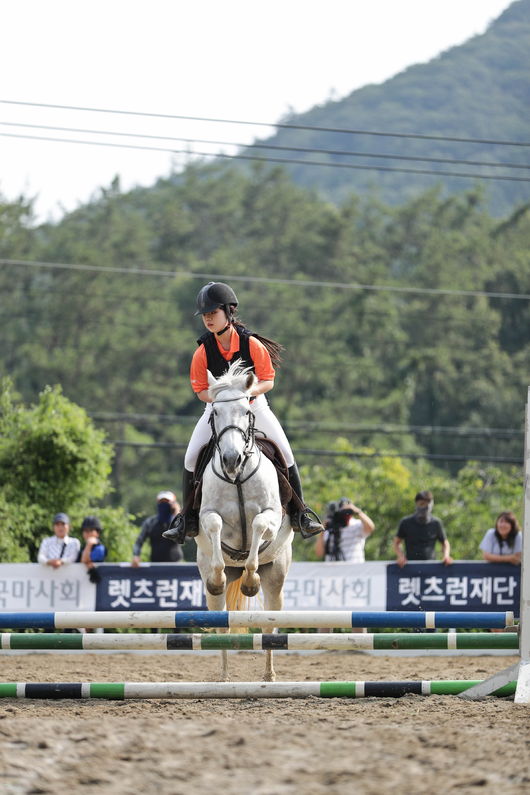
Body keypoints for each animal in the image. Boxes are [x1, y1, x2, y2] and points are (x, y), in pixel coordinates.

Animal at [194, 364, 292, 680]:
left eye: (246, 410)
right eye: (215, 412)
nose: (231, 459)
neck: (237, 478)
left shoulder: (272, 515)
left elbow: (259, 526)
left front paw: (251, 582)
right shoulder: (206, 515)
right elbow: (214, 525)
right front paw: (219, 576)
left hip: (276, 577)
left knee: (269, 626)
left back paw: (269, 676)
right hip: (214, 593)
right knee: (221, 625)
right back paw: (224, 677)